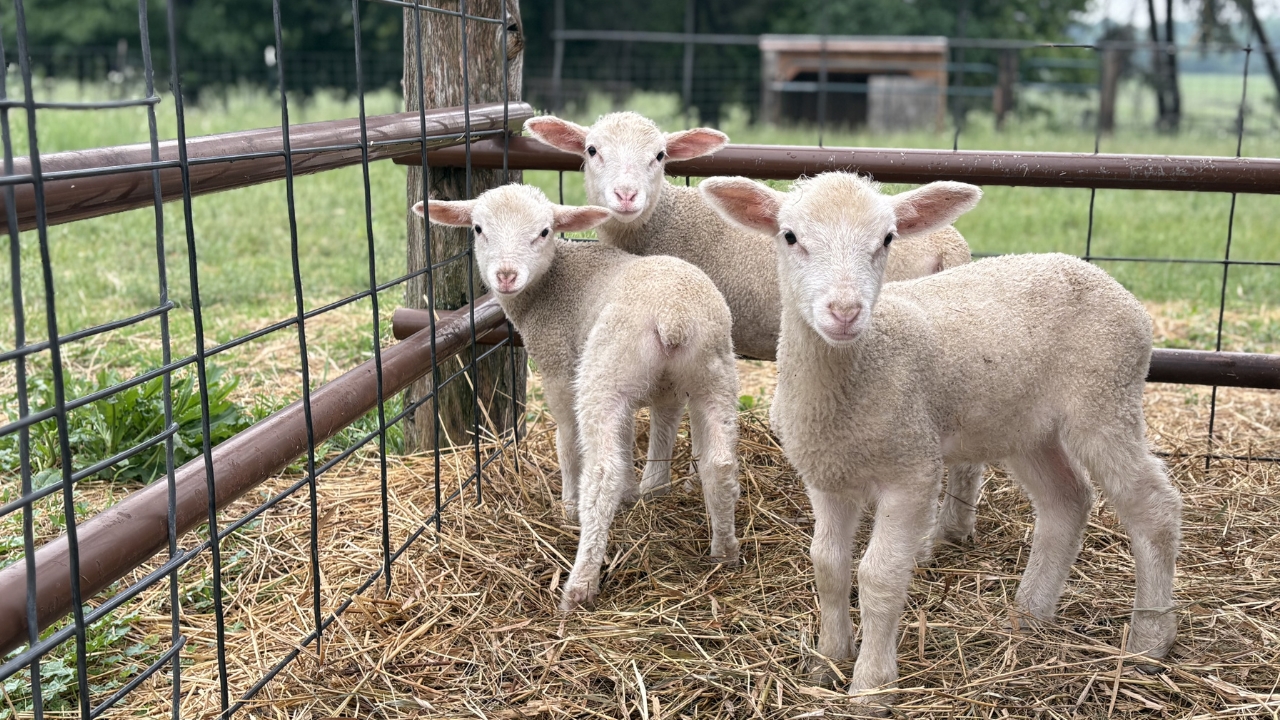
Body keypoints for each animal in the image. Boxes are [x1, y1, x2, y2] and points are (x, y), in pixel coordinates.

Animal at [413, 184, 741, 612]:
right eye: (479, 229)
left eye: (544, 232)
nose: (506, 276)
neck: (551, 283)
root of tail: (675, 315)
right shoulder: (660, 390)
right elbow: (647, 429)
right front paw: (638, 493)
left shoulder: (558, 365)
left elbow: (567, 441)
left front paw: (568, 506)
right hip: (711, 371)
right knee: (719, 463)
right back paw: (725, 551)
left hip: (604, 368)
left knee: (602, 473)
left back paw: (580, 583)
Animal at [699, 172, 1181, 705]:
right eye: (790, 236)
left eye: (887, 239)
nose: (844, 311)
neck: (854, 376)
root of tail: (1102, 277)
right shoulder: (826, 475)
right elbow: (827, 565)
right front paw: (826, 662)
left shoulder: (912, 471)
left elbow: (878, 576)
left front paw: (871, 687)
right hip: (1026, 425)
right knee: (1066, 500)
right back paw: (1030, 615)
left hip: (1106, 399)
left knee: (1152, 509)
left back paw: (1149, 641)